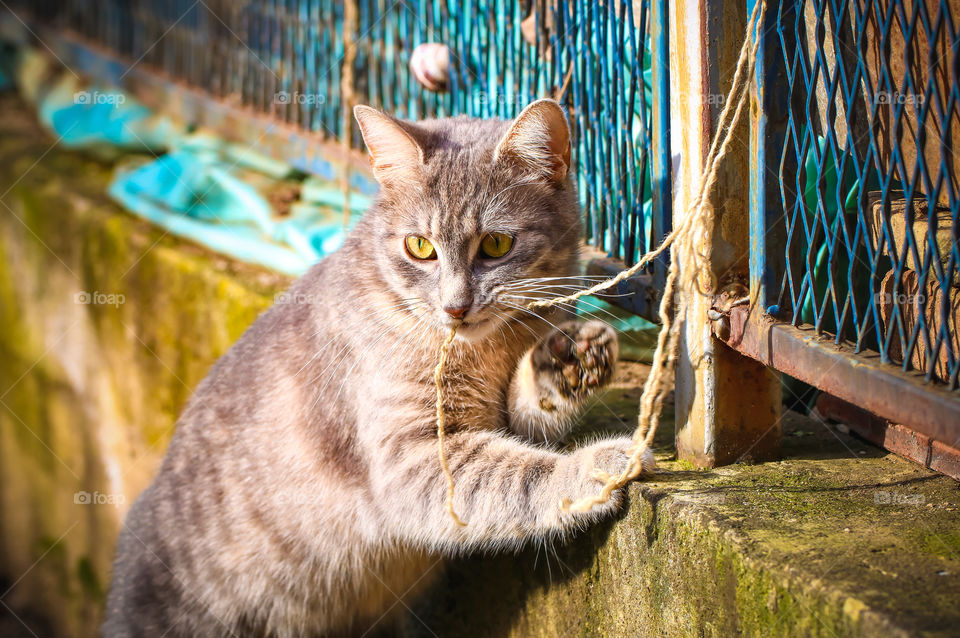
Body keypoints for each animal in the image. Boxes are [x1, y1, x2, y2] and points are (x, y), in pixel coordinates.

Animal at [105, 100, 656, 638]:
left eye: (497, 244)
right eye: (420, 247)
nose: (456, 307)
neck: (490, 347)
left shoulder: (494, 417)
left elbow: (530, 411)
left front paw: (566, 362)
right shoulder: (415, 458)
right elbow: (522, 477)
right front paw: (599, 465)